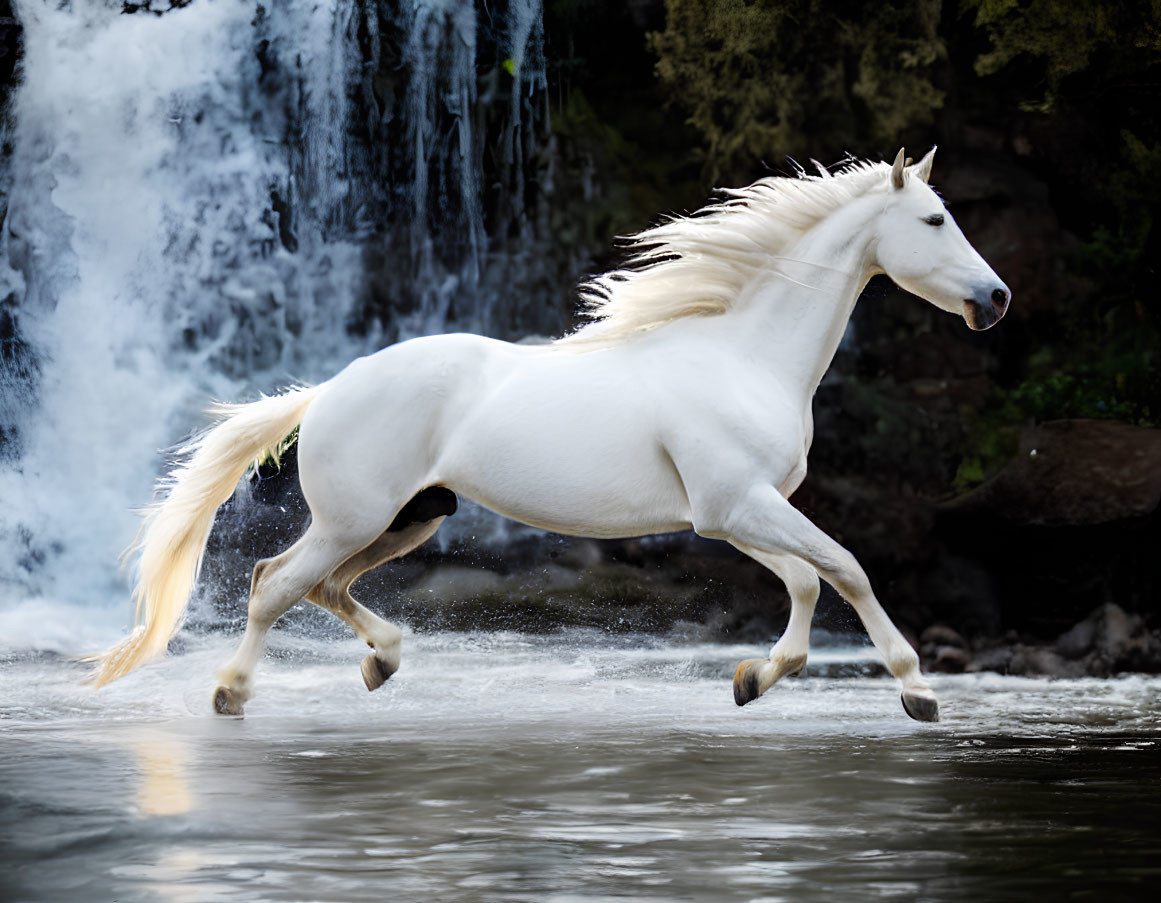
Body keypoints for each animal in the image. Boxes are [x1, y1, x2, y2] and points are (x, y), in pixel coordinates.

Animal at [95, 147, 1012, 719]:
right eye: (934, 220)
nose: (995, 299)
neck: (744, 357)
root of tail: (328, 388)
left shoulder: (733, 514)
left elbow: (806, 583)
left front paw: (754, 677)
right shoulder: (738, 508)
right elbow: (846, 570)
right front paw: (917, 692)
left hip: (408, 518)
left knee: (314, 585)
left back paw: (382, 660)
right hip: (356, 518)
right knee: (273, 583)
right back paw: (232, 693)